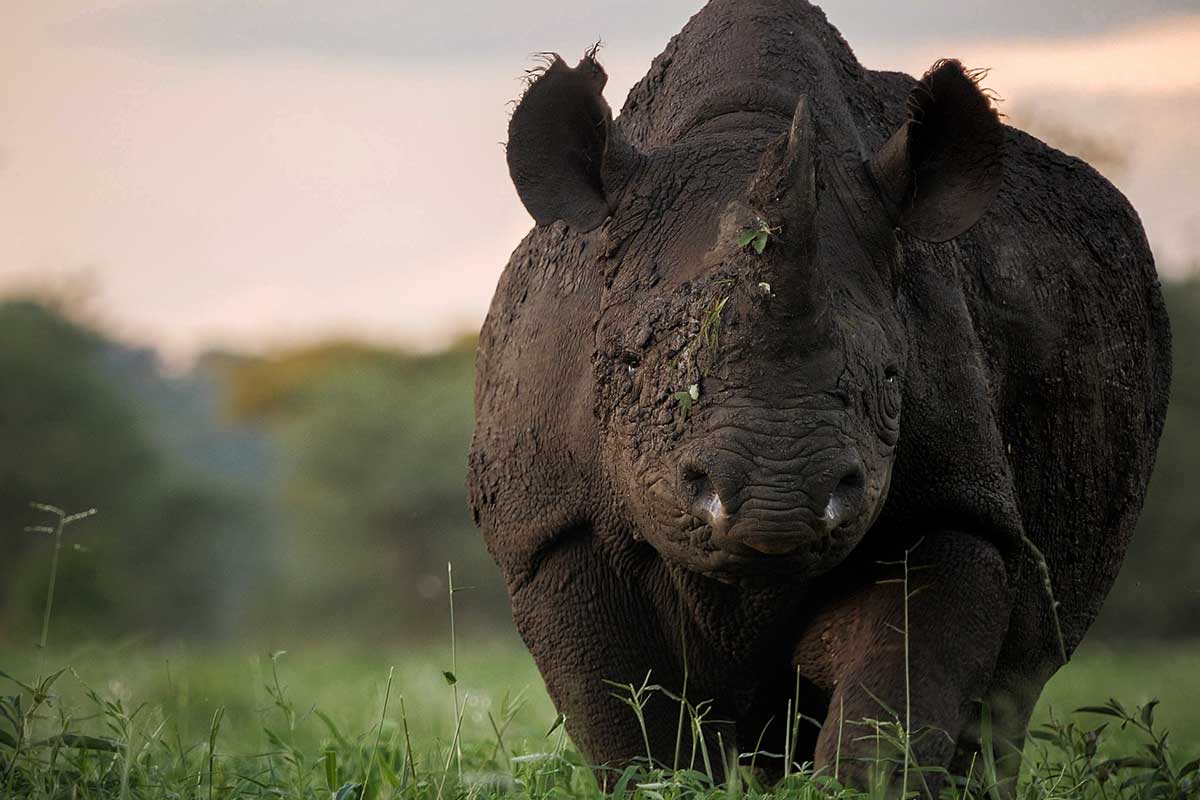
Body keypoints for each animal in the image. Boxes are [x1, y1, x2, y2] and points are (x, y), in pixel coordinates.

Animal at [468, 0, 1171, 789]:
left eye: (893, 380)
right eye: (626, 366)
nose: (778, 498)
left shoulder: (956, 506)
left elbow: (898, 696)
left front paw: (853, 786)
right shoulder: (552, 525)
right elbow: (629, 722)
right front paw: (669, 783)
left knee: (1015, 682)